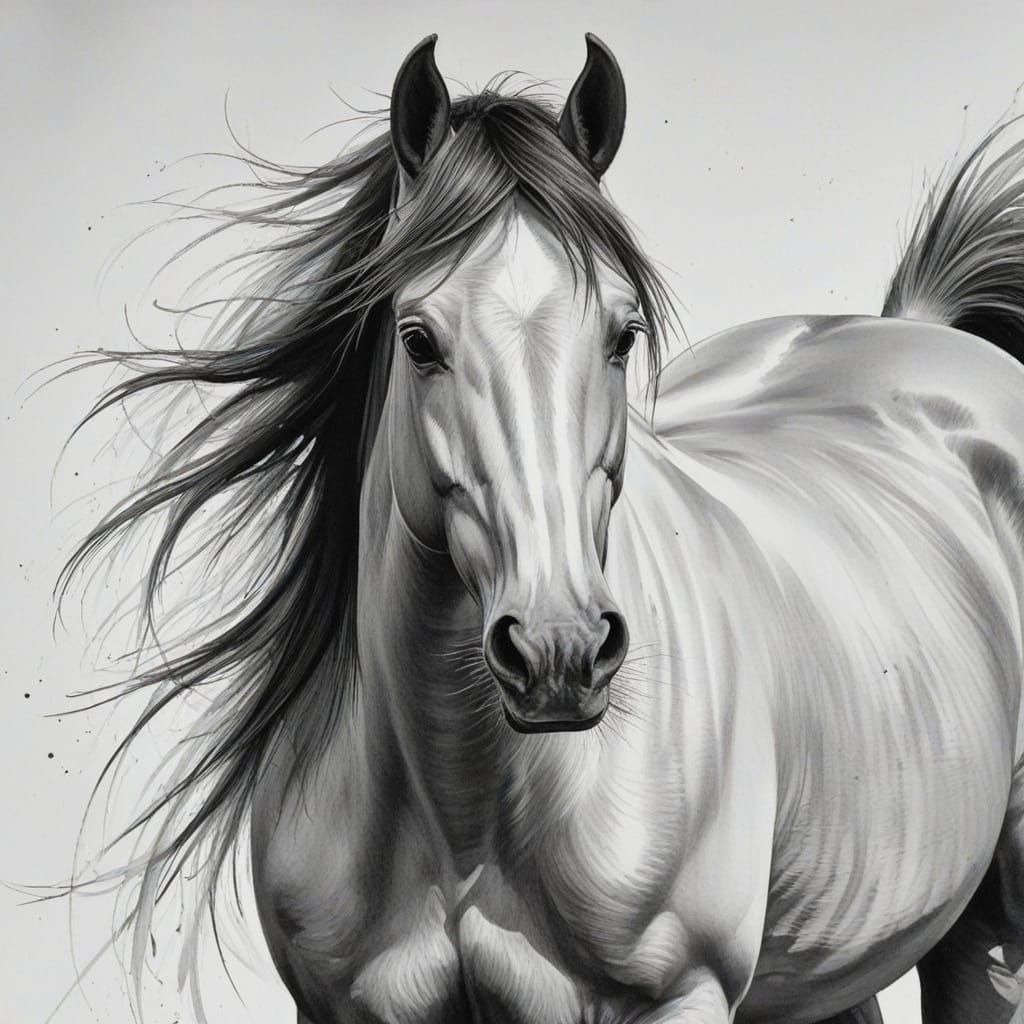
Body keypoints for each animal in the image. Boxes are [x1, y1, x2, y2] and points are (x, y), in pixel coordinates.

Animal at [66, 31, 1024, 1024]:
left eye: (623, 333)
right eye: (418, 340)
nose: (560, 651)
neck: (461, 819)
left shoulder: (683, 996)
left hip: (985, 925)